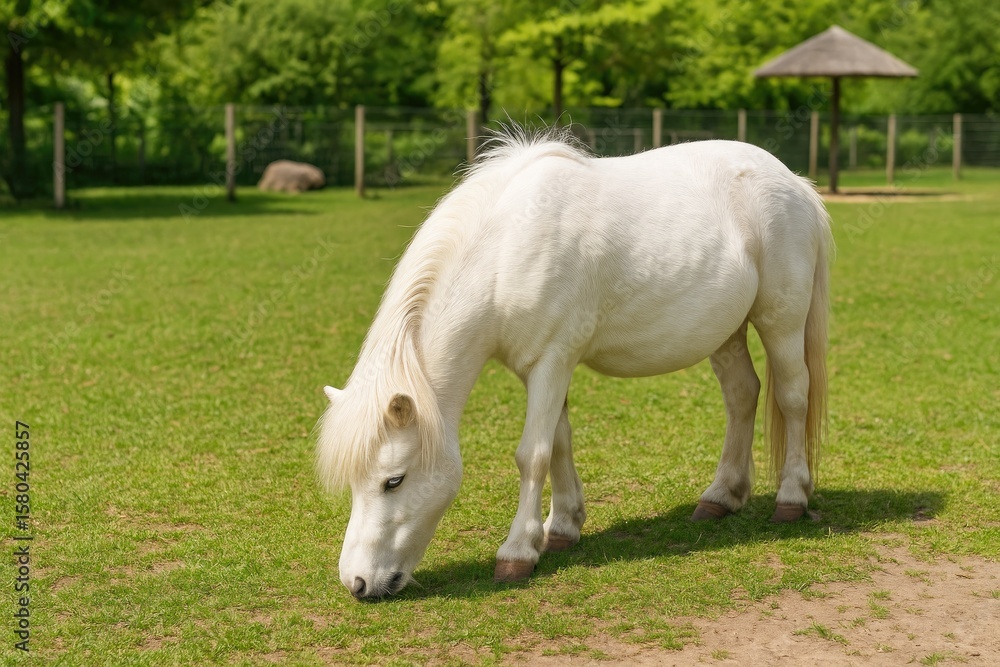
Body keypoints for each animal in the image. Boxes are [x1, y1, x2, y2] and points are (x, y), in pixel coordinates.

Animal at [317, 129, 831, 599]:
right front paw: (563, 527)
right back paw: (721, 496)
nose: (357, 583)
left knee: (792, 397)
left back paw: (791, 497)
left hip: (781, 321)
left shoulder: (552, 360)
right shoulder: (543, 369)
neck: (507, 251)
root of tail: (795, 183)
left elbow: (533, 454)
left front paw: (518, 553)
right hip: (727, 333)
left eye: (394, 480)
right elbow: (559, 442)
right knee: (743, 395)